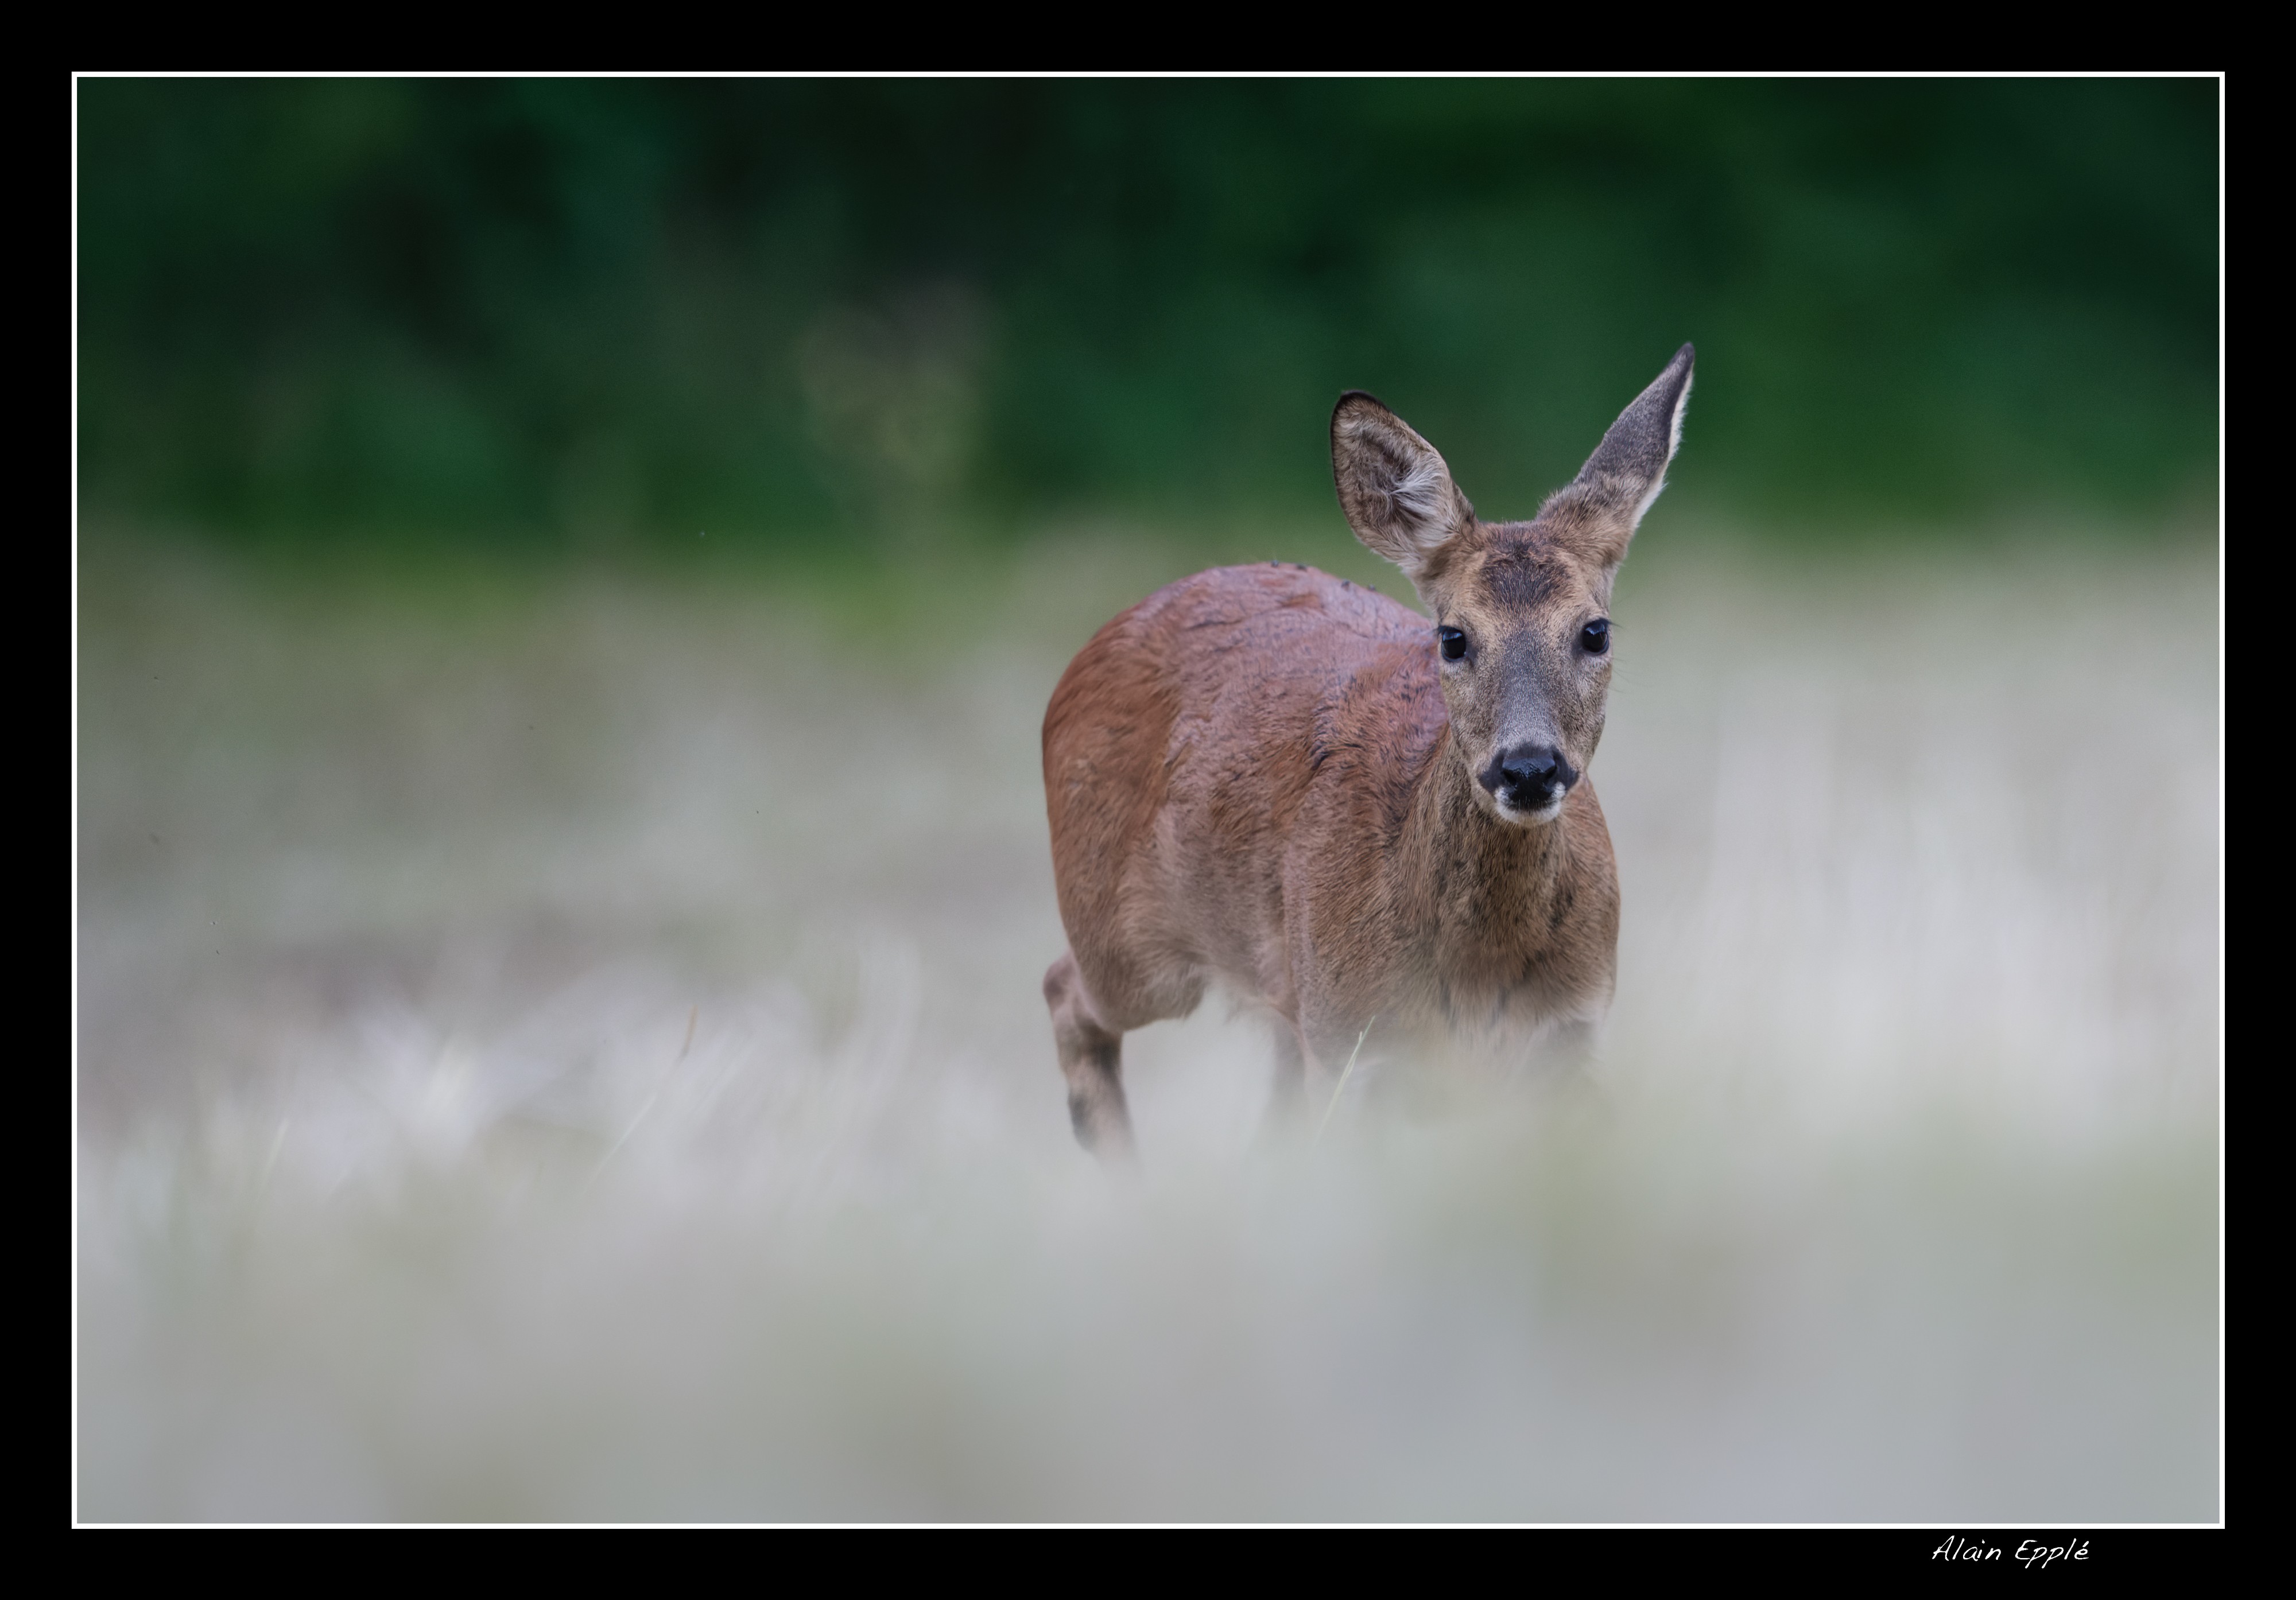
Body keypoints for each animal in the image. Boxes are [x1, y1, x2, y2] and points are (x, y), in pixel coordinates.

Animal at [1042, 344, 1690, 1152]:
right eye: (1453, 636)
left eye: (1594, 630)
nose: (1528, 767)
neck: (1477, 983)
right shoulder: (1352, 1041)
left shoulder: (1574, 1034)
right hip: (1129, 941)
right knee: (1063, 989)